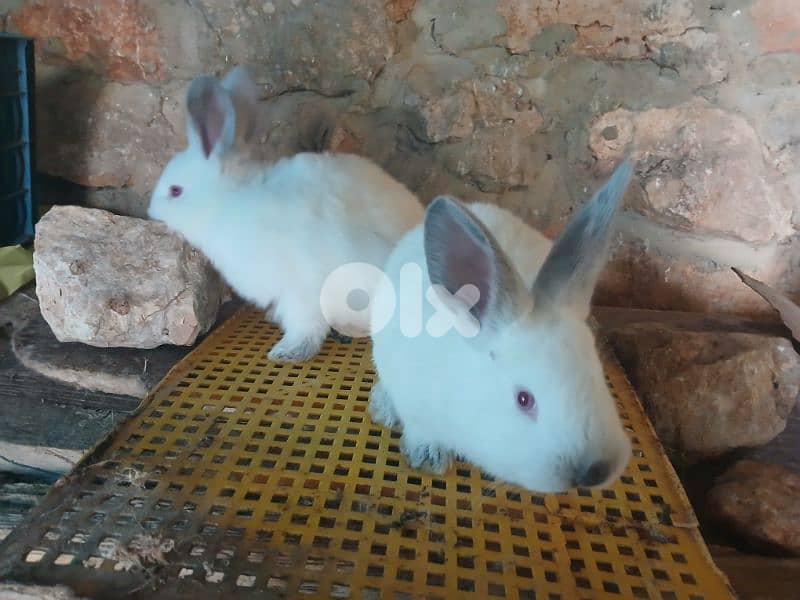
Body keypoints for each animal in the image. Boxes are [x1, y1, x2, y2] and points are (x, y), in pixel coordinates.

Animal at [148, 66, 424, 362]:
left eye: (175, 191)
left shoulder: (302, 290)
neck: (227, 203)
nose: (151, 211)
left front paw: (287, 352)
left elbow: (306, 326)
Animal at [369, 160, 634, 493]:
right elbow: (421, 430)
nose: (594, 471)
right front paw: (429, 457)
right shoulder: (415, 402)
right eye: (523, 399)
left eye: (598, 375)